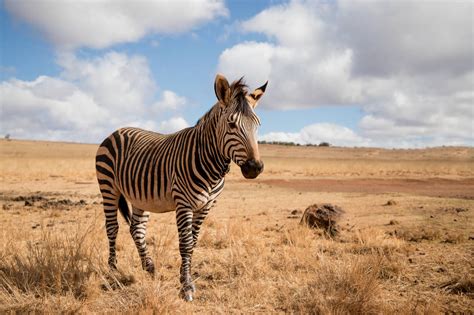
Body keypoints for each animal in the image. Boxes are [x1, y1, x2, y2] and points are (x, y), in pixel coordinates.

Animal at [95, 74, 266, 304]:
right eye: (231, 124)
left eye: (257, 125)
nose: (254, 167)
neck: (209, 162)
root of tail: (118, 130)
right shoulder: (184, 204)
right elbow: (185, 244)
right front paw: (186, 287)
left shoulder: (205, 207)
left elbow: (193, 243)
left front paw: (186, 279)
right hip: (108, 186)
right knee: (112, 227)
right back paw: (113, 271)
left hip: (140, 196)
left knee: (136, 228)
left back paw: (148, 267)